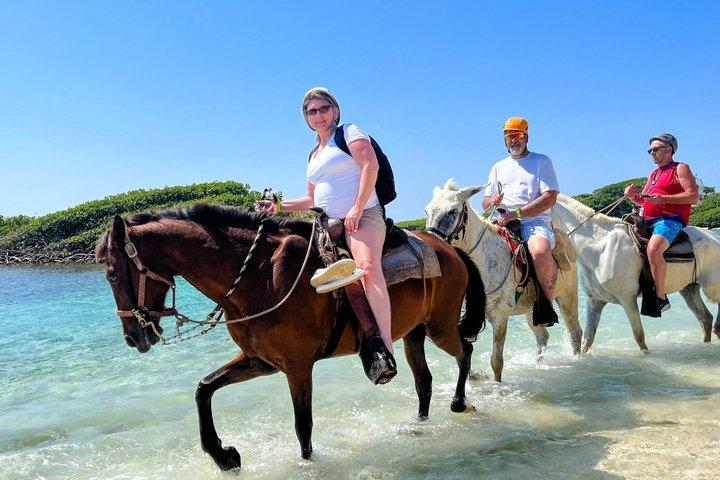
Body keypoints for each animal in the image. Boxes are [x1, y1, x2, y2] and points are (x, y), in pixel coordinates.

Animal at [95, 203, 486, 471]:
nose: (133, 337)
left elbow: (303, 426)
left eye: (112, 275)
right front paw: (223, 456)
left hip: (439, 327)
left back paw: (458, 402)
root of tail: (449, 249)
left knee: (464, 351)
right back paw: (420, 426)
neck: (259, 276)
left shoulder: (297, 367)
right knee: (424, 381)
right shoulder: (261, 361)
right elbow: (204, 388)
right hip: (413, 334)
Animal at [425, 180, 582, 382]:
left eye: (453, 211)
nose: (432, 246)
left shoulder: (500, 317)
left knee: (575, 332)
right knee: (542, 337)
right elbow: (462, 355)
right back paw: (539, 365)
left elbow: (496, 361)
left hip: (567, 298)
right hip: (531, 310)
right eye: (427, 211)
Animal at [552, 194, 720, 352]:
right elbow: (587, 340)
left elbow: (639, 336)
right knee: (705, 319)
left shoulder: (628, 299)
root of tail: (715, 237)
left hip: (712, 289)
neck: (600, 248)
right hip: (689, 289)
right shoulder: (594, 301)